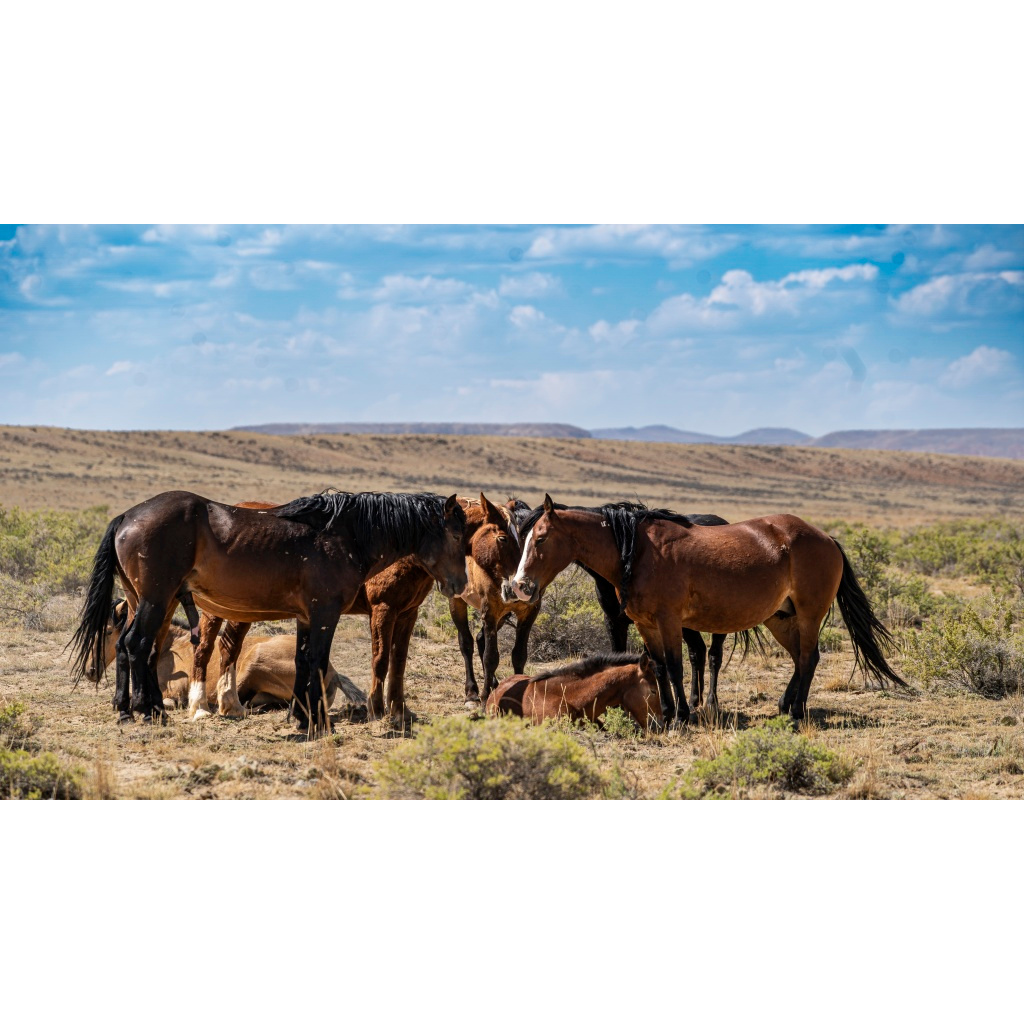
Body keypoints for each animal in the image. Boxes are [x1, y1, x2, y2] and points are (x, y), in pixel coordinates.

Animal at [69, 489, 467, 733]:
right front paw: (319, 723)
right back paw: (142, 710)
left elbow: (306, 662)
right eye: (457, 535)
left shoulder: (308, 617)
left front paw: (304, 718)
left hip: (147, 600)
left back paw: (143, 709)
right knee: (137, 645)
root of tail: (127, 517)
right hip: (156, 600)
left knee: (138, 648)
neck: (345, 535)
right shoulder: (327, 614)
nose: (460, 585)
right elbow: (319, 662)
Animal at [507, 496, 903, 726]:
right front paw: (668, 712)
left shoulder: (668, 621)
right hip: (781, 618)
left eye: (540, 538)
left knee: (809, 658)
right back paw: (784, 704)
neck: (637, 552)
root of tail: (825, 537)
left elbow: (677, 666)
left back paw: (796, 713)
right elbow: (659, 666)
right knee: (798, 658)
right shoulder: (645, 624)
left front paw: (683, 714)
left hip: (809, 614)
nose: (520, 585)